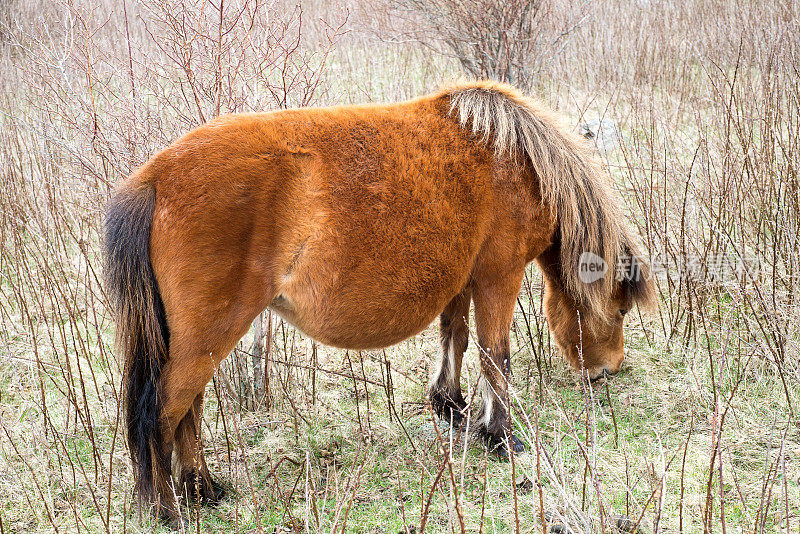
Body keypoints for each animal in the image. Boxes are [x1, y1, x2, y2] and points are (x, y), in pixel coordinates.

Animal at [104, 80, 656, 528]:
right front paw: (500, 436)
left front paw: (450, 405)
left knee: (187, 410)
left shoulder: (461, 277)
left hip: (196, 340)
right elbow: (494, 356)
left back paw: (202, 488)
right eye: (619, 309)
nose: (607, 370)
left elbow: (455, 337)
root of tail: (156, 178)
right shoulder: (498, 277)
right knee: (163, 412)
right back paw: (168, 507)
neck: (517, 161)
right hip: (207, 336)